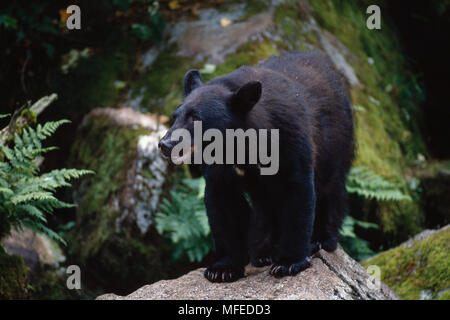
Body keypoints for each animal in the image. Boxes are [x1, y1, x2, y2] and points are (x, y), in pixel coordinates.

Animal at [159, 51, 356, 284]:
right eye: (175, 116)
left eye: (196, 118)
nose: (165, 144)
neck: (240, 146)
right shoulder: (220, 168)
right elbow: (223, 204)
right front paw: (223, 268)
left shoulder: (288, 139)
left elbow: (297, 192)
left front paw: (289, 263)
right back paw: (264, 252)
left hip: (336, 140)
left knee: (330, 188)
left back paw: (322, 239)